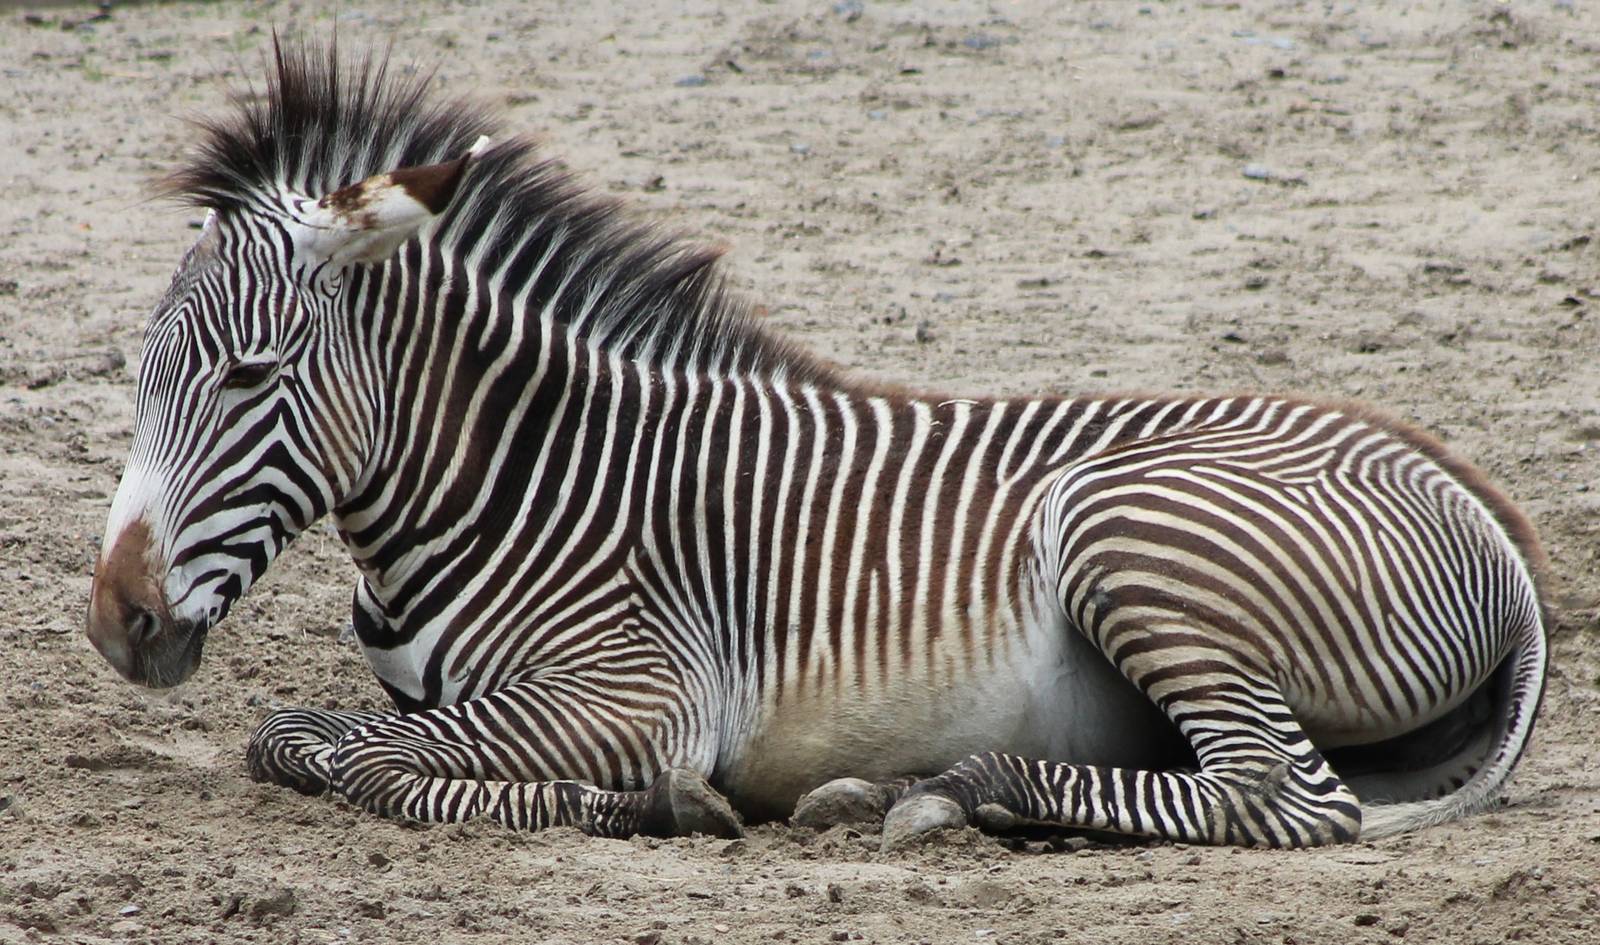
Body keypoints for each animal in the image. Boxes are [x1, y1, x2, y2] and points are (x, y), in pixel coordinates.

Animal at [85, 41, 1548, 849]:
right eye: (138, 375)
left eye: (251, 377)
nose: (115, 621)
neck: (523, 486)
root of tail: (1465, 489)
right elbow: (296, 736)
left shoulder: (644, 692)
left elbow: (359, 758)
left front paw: (654, 806)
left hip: (1130, 532)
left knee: (1283, 797)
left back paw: (943, 790)